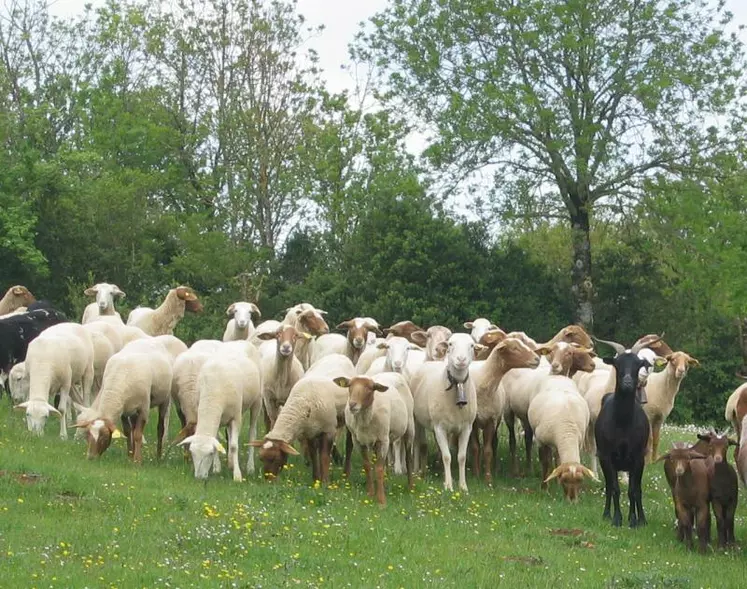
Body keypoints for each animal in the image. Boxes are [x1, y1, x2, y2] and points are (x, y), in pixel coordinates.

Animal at [251, 354, 356, 482]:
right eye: (261, 458)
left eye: (276, 458)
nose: (269, 481)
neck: (301, 401)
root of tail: (338, 355)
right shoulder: (310, 432)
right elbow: (313, 454)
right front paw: (316, 479)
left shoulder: (329, 429)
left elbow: (324, 456)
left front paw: (325, 481)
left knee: (349, 445)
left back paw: (346, 474)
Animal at [334, 372, 414, 506]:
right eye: (350, 386)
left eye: (369, 388)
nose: (352, 404)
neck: (365, 420)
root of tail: (392, 372)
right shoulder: (358, 441)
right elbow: (367, 466)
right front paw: (371, 494)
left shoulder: (383, 441)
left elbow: (379, 469)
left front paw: (381, 501)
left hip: (409, 426)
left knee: (408, 457)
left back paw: (411, 486)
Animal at [410, 330, 480, 492]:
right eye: (450, 344)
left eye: (471, 345)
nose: (461, 359)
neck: (457, 384)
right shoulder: (439, 427)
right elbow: (447, 456)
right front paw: (448, 486)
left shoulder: (467, 427)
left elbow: (461, 456)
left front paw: (462, 486)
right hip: (416, 418)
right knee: (417, 443)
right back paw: (417, 471)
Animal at [592, 334, 664, 524]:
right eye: (617, 364)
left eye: (638, 364)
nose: (627, 382)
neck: (623, 423)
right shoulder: (607, 457)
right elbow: (615, 489)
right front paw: (617, 519)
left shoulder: (638, 458)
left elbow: (633, 491)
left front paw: (634, 520)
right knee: (609, 486)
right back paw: (606, 514)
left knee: (636, 489)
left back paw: (641, 518)